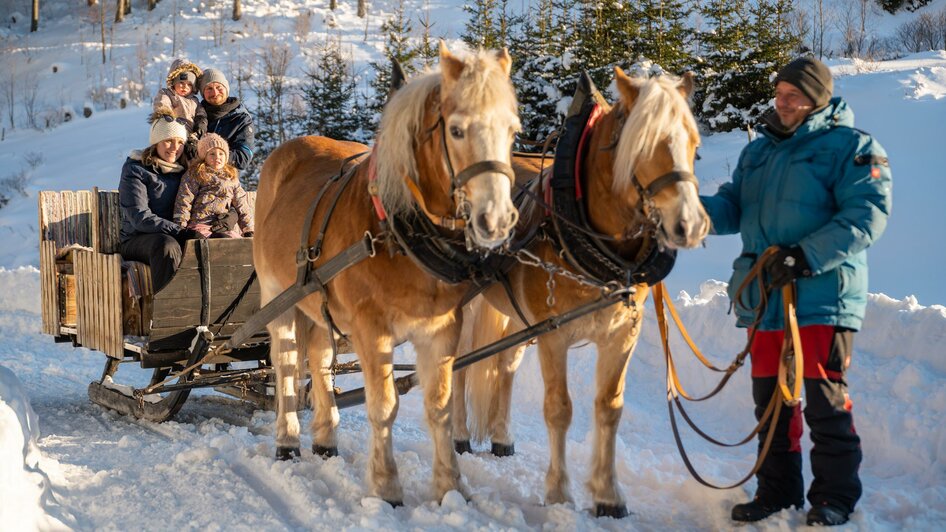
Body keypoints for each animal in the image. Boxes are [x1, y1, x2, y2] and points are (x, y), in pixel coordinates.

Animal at [254, 45, 520, 508]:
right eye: (456, 130)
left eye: (512, 131)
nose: (497, 220)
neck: (397, 231)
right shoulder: (370, 328)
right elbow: (383, 406)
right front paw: (386, 488)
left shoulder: (442, 330)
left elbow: (439, 407)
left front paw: (450, 488)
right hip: (277, 298)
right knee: (286, 364)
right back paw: (287, 442)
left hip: (316, 302)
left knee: (319, 360)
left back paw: (325, 439)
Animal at [452, 68, 708, 516]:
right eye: (643, 144)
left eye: (693, 143)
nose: (690, 226)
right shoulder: (554, 334)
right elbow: (559, 409)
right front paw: (558, 493)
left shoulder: (622, 335)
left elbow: (609, 408)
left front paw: (608, 495)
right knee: (461, 366)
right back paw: (461, 435)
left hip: (518, 318)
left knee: (504, 365)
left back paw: (501, 437)